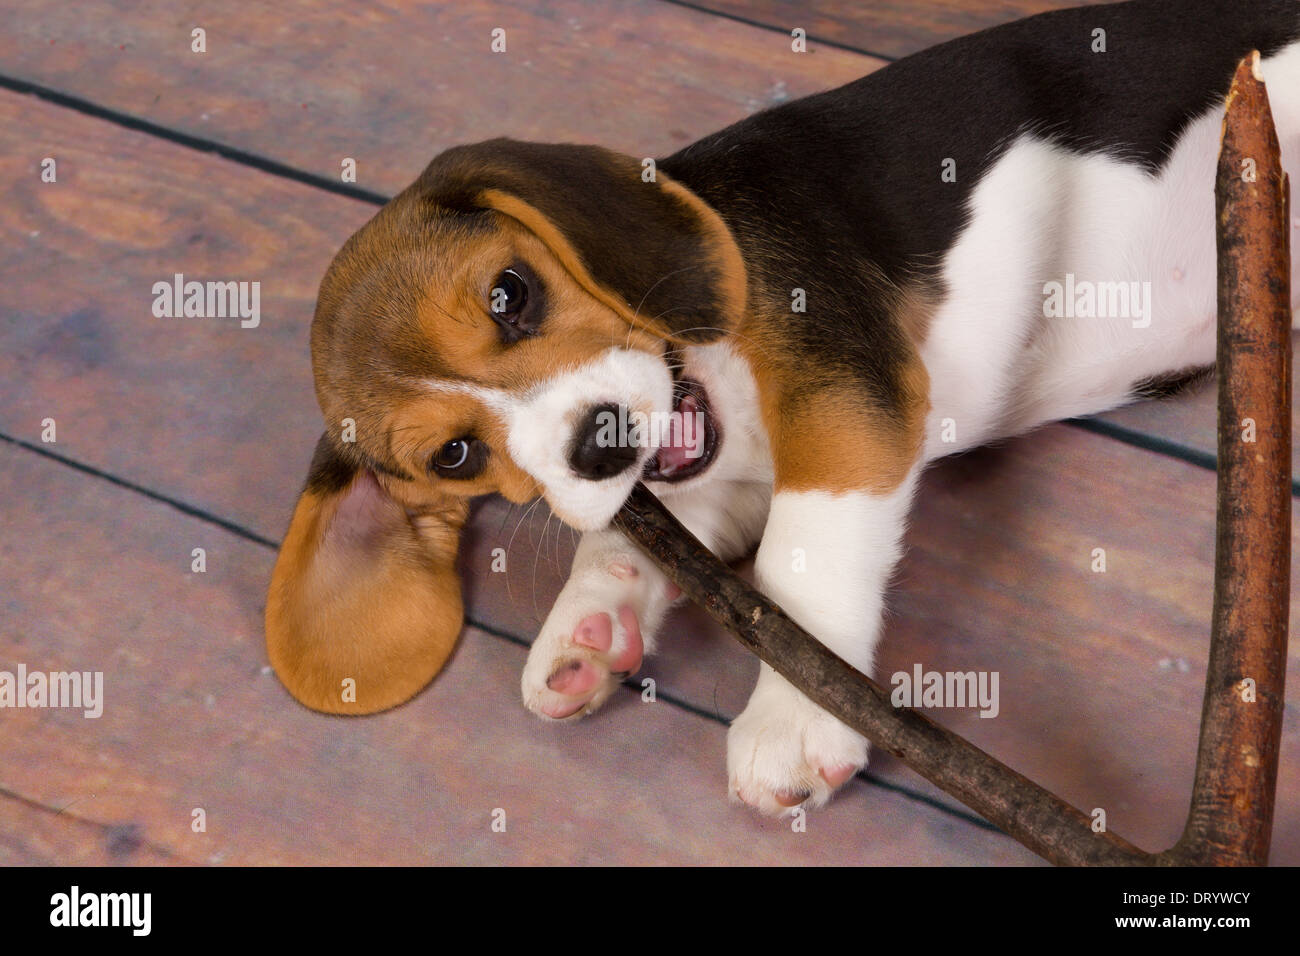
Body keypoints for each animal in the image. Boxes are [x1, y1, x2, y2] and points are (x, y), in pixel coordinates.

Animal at [263, 0, 1300, 816]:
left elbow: (803, 556)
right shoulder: (717, 478)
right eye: (454, 458)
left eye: (510, 293)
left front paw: (794, 717)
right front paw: (590, 631)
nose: (599, 444)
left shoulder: (843, 404)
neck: (706, 366)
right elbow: (636, 538)